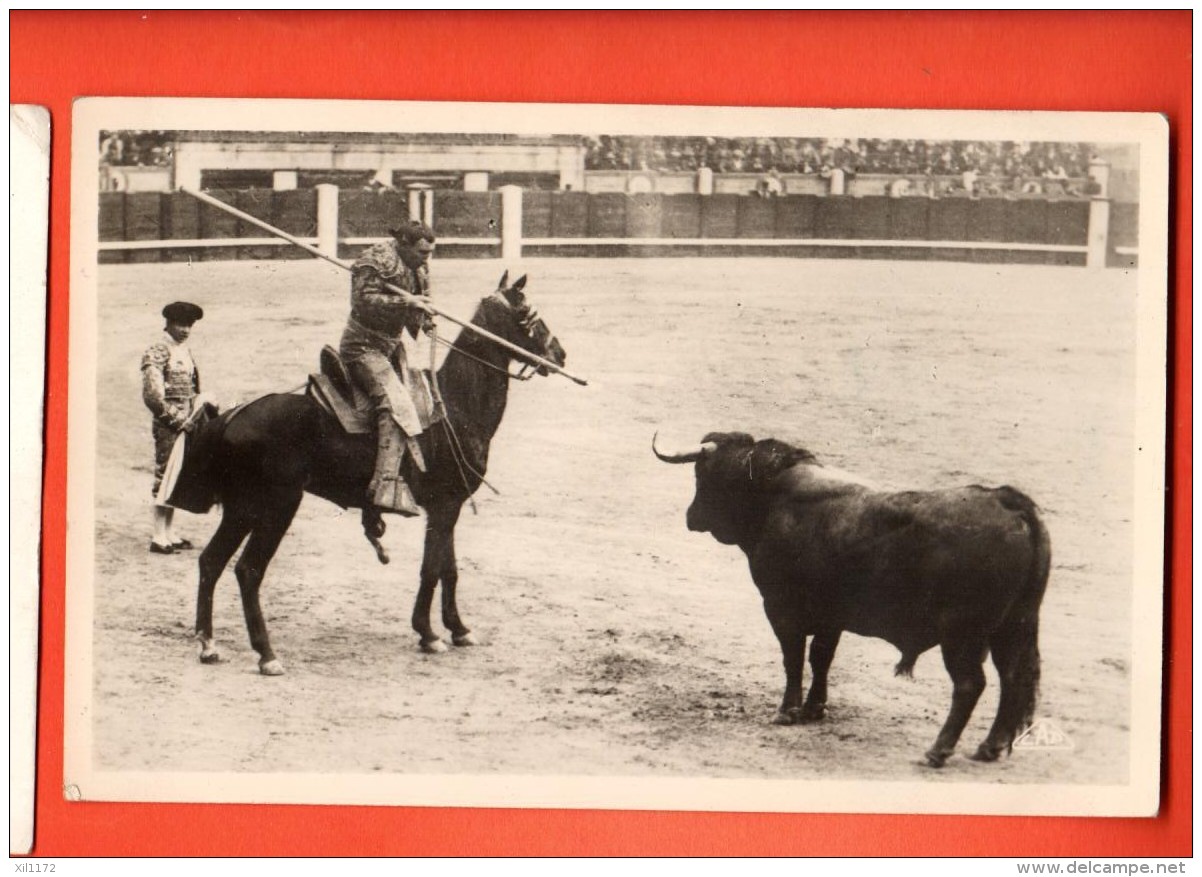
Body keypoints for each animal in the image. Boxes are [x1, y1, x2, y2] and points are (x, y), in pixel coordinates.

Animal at [183, 270, 567, 672]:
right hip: (277, 506)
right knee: (248, 570)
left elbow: (449, 568)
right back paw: (267, 655)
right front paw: (428, 634)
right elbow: (432, 568)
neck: (455, 405)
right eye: (528, 313)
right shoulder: (446, 506)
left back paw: (208, 645)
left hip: (241, 509)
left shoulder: (447, 508)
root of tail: (232, 416)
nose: (559, 353)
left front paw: (459, 629)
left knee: (211, 561)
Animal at [649, 430, 1052, 764]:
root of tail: (1008, 502)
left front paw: (786, 711)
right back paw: (990, 747)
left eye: (701, 475)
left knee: (970, 685)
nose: (691, 516)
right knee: (1014, 677)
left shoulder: (780, 607)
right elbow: (820, 657)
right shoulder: (832, 616)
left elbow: (793, 658)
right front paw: (813, 710)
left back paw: (938, 751)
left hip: (962, 635)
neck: (773, 496)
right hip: (1015, 625)